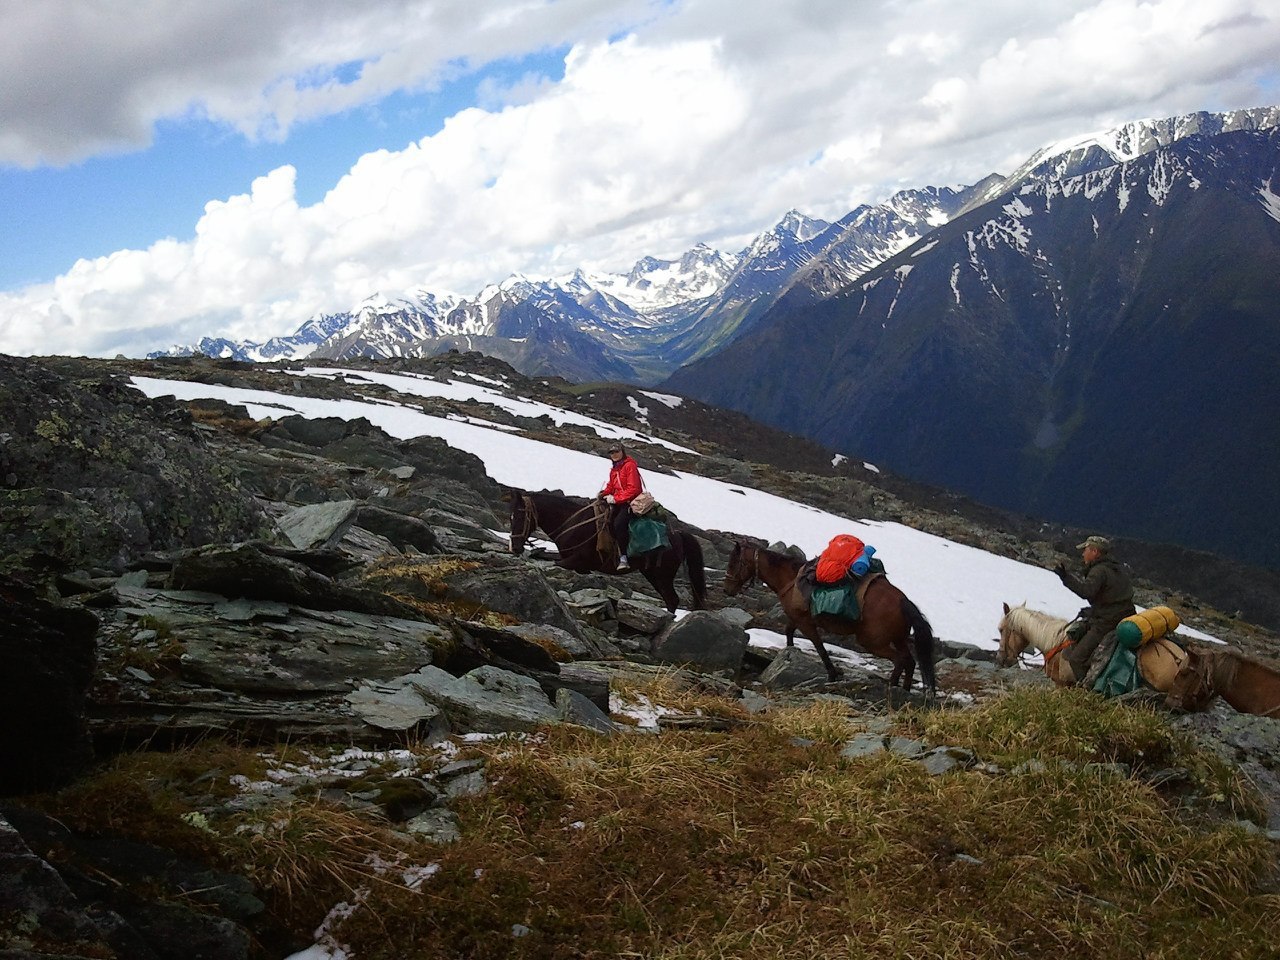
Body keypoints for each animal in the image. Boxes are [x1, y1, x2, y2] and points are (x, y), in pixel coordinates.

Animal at [506, 488, 711, 616]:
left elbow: (553, 563)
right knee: (671, 600)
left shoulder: (576, 560)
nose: (514, 547)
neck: (572, 523)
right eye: (511, 517)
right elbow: (541, 555)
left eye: (521, 516)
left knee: (672, 599)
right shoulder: (577, 563)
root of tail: (678, 535)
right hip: (652, 574)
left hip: (663, 575)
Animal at [721, 545, 942, 696]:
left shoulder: (806, 623)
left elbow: (819, 646)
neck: (791, 579)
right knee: (910, 661)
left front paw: (832, 674)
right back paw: (905, 689)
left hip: (872, 641)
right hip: (898, 638)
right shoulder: (797, 618)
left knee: (900, 659)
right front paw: (789, 655)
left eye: (733, 563)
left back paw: (892, 686)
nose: (727, 590)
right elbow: (789, 632)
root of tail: (904, 601)